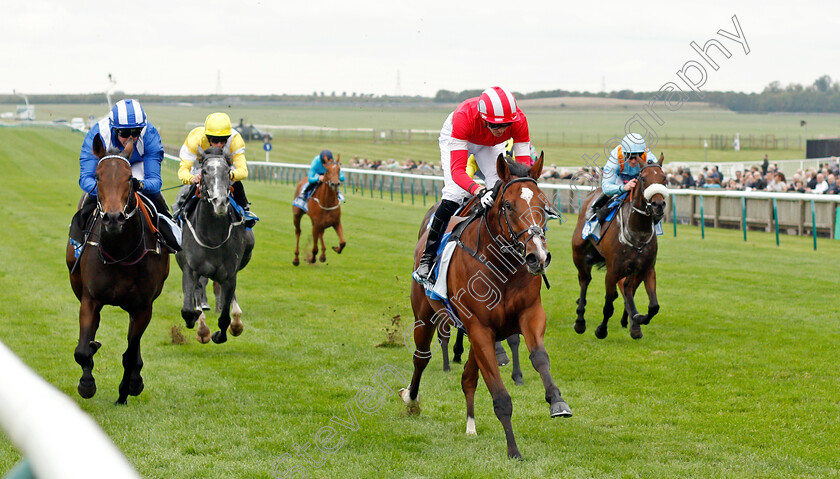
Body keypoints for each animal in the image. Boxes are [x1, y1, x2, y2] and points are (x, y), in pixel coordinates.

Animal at [67, 136, 171, 404]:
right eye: (98, 176)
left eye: (129, 179)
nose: (113, 218)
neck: (120, 252)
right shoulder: (90, 299)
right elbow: (82, 350)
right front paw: (87, 383)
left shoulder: (143, 306)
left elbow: (130, 353)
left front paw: (125, 391)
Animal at [176, 144, 254, 344]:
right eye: (204, 171)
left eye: (227, 171)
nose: (220, 201)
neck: (212, 237)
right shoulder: (190, 269)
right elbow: (188, 309)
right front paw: (198, 325)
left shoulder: (230, 274)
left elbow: (225, 316)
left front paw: (222, 333)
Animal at [400, 155, 572, 462]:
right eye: (508, 205)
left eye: (543, 204)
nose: (538, 256)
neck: (502, 268)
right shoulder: (479, 328)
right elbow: (500, 396)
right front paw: (513, 450)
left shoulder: (528, 315)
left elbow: (539, 357)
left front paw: (557, 401)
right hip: (425, 316)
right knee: (421, 358)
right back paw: (411, 399)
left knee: (468, 378)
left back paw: (470, 425)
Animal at [572, 155, 668, 342]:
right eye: (643, 178)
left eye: (664, 179)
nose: (658, 204)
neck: (638, 232)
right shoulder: (612, 271)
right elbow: (609, 304)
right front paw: (601, 330)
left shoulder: (647, 269)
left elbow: (654, 306)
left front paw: (638, 318)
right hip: (578, 253)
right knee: (584, 280)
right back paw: (580, 321)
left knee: (628, 288)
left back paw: (634, 324)